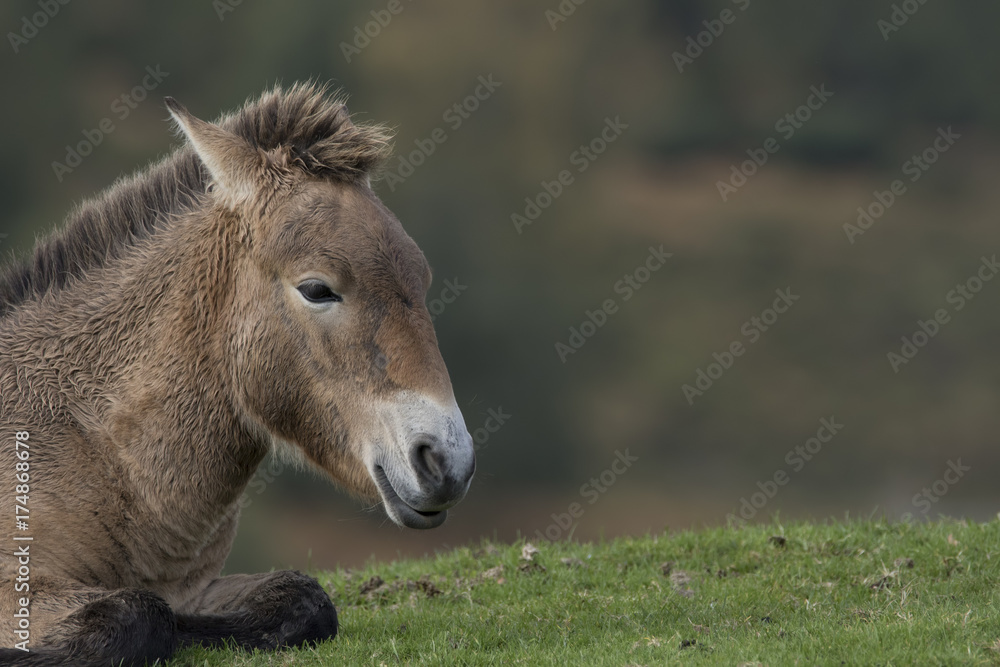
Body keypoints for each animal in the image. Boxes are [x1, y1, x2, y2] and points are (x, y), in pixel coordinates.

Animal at [0, 86, 476, 664]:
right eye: (317, 289)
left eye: (422, 279)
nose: (447, 462)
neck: (95, 444)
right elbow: (136, 611)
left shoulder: (195, 587)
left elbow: (301, 597)